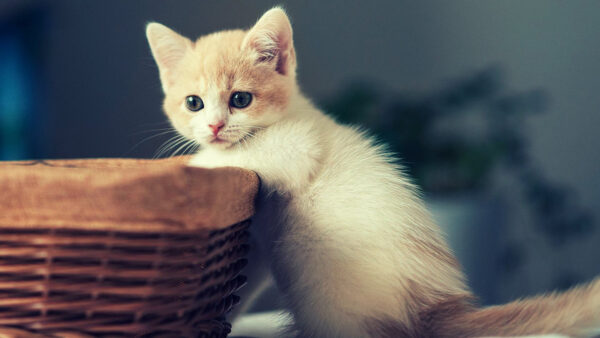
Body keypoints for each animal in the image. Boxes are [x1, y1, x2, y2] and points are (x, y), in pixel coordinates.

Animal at [146, 7, 600, 338]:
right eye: (193, 103)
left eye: (240, 99)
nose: (214, 127)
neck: (292, 114)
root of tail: (435, 311)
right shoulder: (256, 237)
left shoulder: (296, 148)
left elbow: (237, 156)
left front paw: (179, 166)